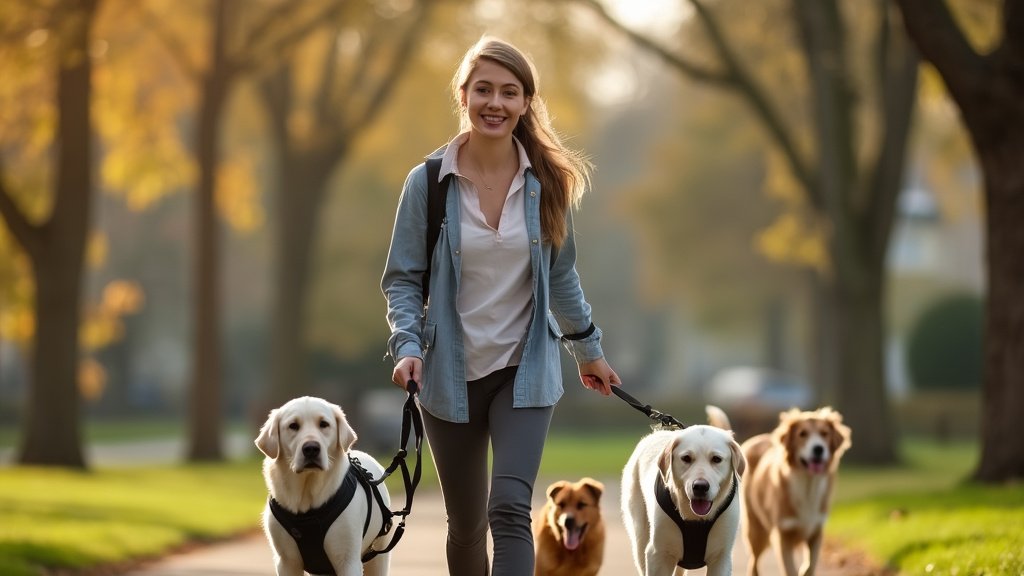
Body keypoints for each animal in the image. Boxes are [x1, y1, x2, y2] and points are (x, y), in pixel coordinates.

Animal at [741, 405, 851, 573]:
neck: (808, 485)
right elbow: (790, 569)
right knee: (753, 562)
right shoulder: (783, 536)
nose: (818, 449)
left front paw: (804, 570)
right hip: (757, 532)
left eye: (824, 433)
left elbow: (810, 566)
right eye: (802, 434)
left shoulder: (816, 532)